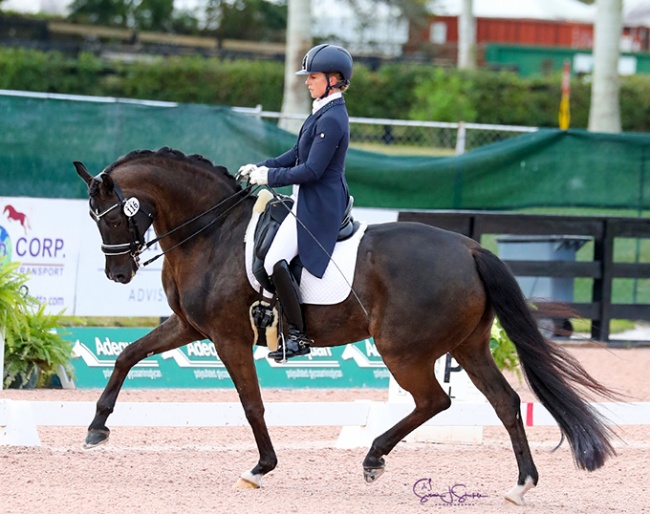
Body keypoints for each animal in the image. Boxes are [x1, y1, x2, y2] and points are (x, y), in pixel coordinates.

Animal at [73, 147, 616, 504]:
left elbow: (252, 405)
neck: (212, 234)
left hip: (402, 349)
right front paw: (97, 428)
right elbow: (127, 355)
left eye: (112, 217)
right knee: (504, 403)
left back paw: (374, 458)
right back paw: (521, 484)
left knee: (434, 401)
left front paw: (260, 468)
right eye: (94, 218)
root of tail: (469, 249)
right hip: (468, 346)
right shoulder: (189, 326)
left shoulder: (228, 338)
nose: (118, 274)